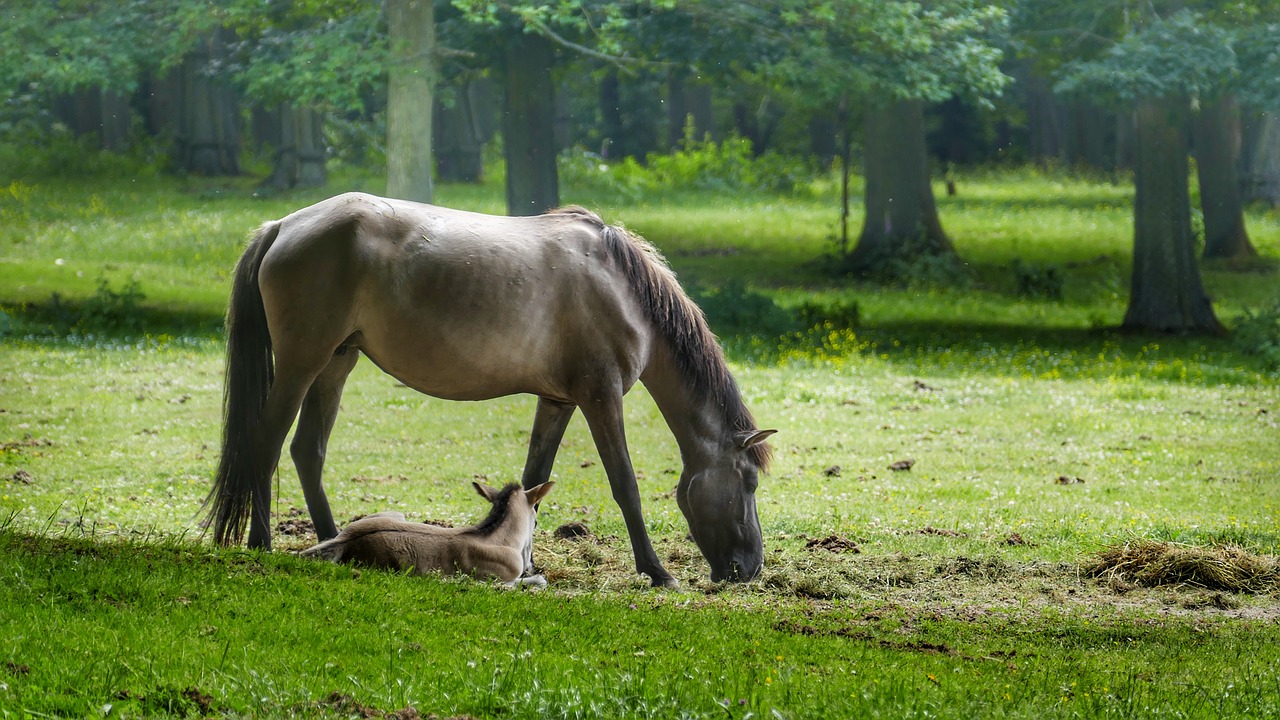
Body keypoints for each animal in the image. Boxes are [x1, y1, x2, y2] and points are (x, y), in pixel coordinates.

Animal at [305, 479, 560, 586]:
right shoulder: (497, 578)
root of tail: (345, 540)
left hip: (395, 514)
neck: (499, 538)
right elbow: (532, 582)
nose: (531, 564)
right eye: (535, 522)